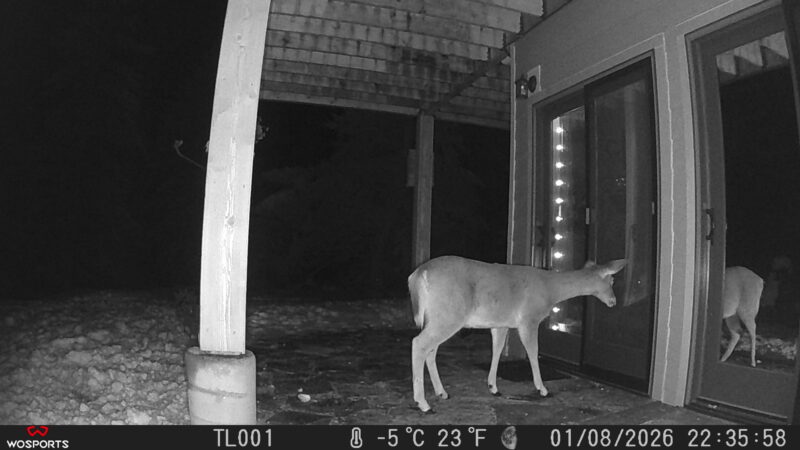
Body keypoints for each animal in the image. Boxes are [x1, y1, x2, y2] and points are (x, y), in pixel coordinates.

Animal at [407, 255, 626, 413]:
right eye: (611, 280)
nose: (613, 301)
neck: (550, 289)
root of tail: (418, 275)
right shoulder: (529, 319)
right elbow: (533, 352)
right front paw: (542, 389)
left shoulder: (501, 323)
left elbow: (497, 350)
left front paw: (493, 387)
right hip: (449, 314)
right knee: (419, 343)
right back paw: (424, 404)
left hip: (439, 316)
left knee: (431, 350)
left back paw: (441, 393)